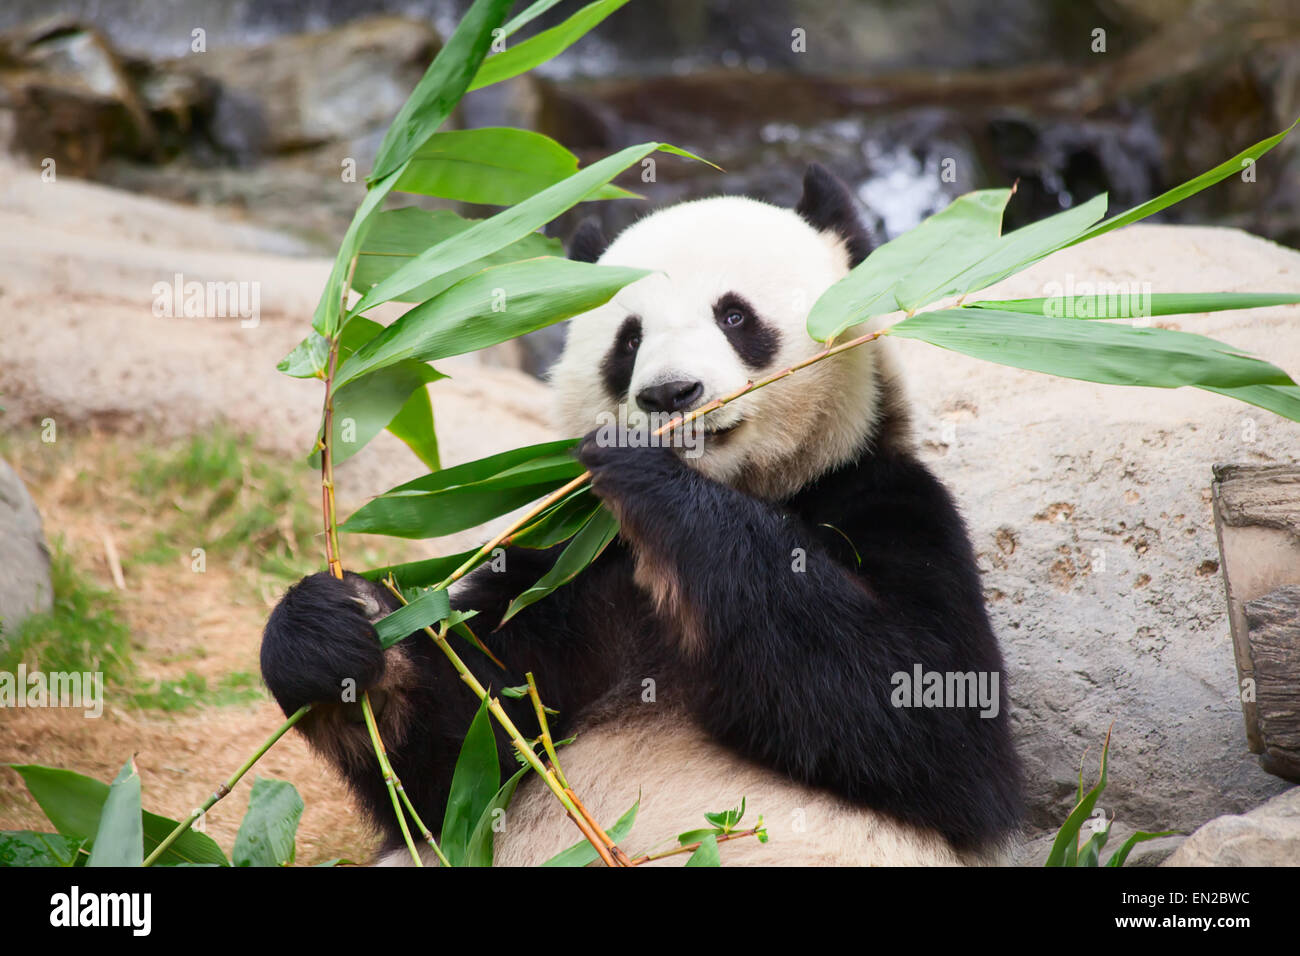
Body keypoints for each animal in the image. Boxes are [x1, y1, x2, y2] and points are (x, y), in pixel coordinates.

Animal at [258, 164, 1019, 868]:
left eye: (735, 317)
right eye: (627, 341)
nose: (669, 394)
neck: (749, 488)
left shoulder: (881, 497)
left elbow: (929, 713)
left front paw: (645, 473)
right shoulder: (570, 572)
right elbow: (459, 760)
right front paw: (329, 631)